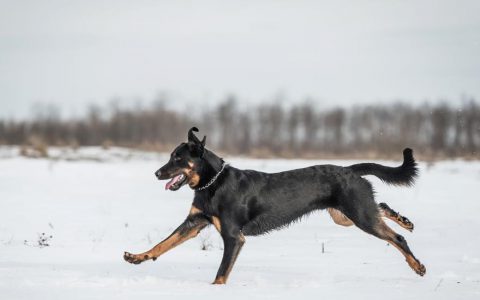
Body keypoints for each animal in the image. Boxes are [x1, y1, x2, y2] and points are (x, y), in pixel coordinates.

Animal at [123, 126, 424, 284]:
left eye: (177, 158)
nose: (156, 173)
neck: (212, 185)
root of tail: (350, 170)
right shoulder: (194, 223)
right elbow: (163, 243)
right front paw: (137, 257)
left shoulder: (233, 237)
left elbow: (221, 272)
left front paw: (215, 289)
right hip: (345, 215)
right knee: (381, 206)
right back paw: (406, 221)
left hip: (359, 214)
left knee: (396, 237)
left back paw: (417, 265)